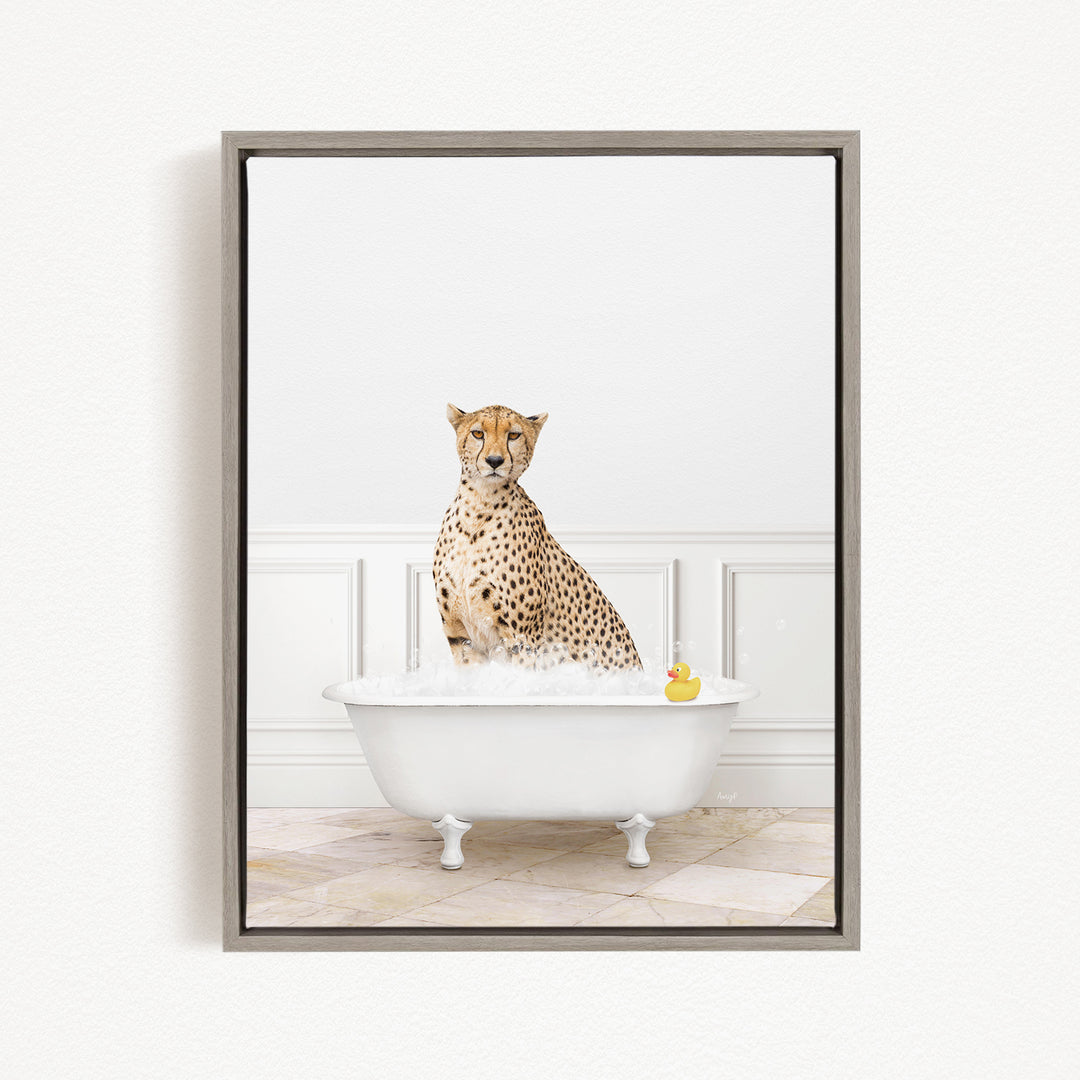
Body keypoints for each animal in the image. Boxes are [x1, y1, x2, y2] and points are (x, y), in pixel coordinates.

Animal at [432, 403, 643, 671]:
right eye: (478, 433)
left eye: (513, 435)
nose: (494, 461)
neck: (479, 504)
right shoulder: (461, 637)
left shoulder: (522, 639)